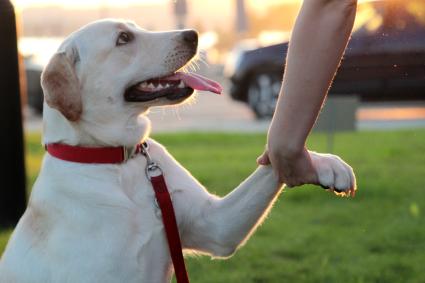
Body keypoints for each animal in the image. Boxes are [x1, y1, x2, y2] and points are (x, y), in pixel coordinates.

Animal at [0, 18, 356, 282]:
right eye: (124, 38)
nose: (193, 34)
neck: (117, 160)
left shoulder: (215, 224)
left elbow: (268, 171)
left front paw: (324, 164)